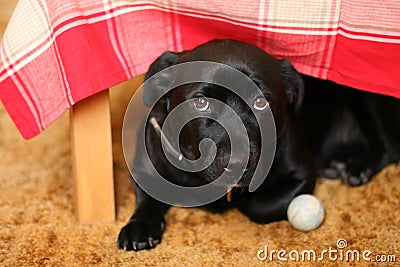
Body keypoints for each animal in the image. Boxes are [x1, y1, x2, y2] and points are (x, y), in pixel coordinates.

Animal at [117, 38, 398, 252]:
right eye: (201, 103)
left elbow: (258, 206)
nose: (239, 163)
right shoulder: (143, 168)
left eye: (261, 102)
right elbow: (146, 196)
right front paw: (139, 226)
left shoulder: (301, 175)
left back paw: (356, 168)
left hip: (369, 96)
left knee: (387, 147)